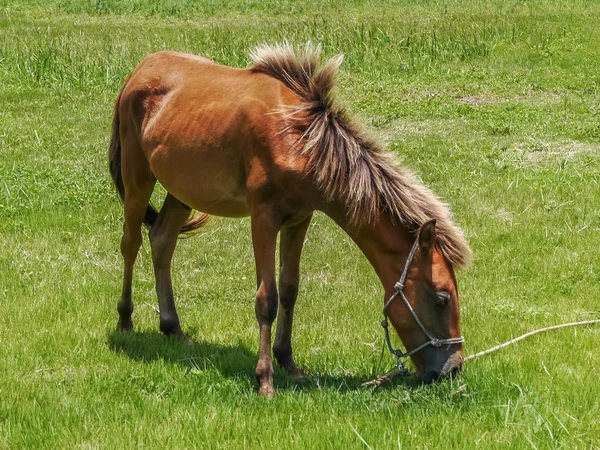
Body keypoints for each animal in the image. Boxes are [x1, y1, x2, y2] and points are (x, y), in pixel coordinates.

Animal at [109, 43, 474, 398]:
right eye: (442, 298)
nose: (451, 369)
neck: (301, 139)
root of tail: (138, 72)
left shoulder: (299, 219)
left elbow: (289, 289)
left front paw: (288, 363)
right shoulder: (263, 217)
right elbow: (266, 299)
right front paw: (265, 378)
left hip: (183, 190)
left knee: (162, 239)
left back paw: (173, 327)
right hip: (137, 176)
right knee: (131, 243)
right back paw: (125, 320)